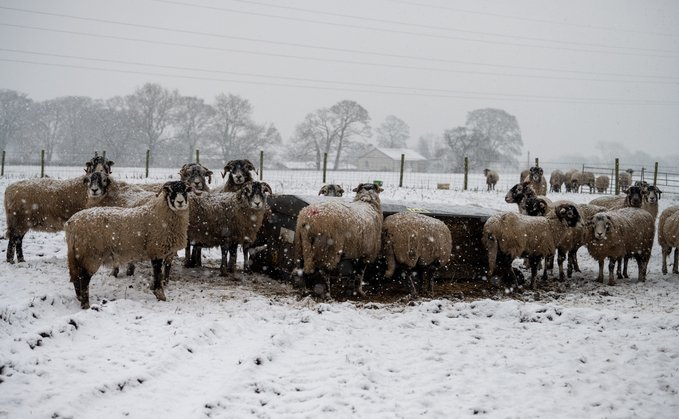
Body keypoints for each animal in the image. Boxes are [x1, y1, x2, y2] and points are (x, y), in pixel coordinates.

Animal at [63, 182, 191, 310]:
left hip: (77, 254)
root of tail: (70, 224)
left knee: (76, 277)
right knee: (84, 278)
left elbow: (160, 274)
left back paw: (80, 298)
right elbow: (159, 275)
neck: (161, 213)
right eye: (170, 191)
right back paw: (85, 305)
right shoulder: (157, 251)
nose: (180, 202)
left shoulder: (161, 252)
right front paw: (161, 296)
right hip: (90, 254)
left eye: (186, 190)